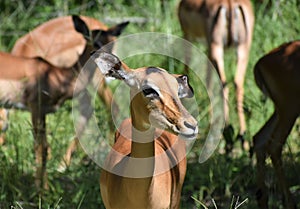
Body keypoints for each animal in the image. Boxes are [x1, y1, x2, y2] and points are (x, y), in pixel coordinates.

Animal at [178, 0, 255, 150]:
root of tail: (230, 5)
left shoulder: (188, 36)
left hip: (216, 47)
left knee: (223, 83)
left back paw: (225, 136)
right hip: (243, 48)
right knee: (237, 82)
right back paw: (241, 139)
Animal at [253, 40, 300, 209]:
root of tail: (261, 62)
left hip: (282, 111)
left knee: (259, 138)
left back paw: (263, 199)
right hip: (289, 110)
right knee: (273, 146)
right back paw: (290, 203)